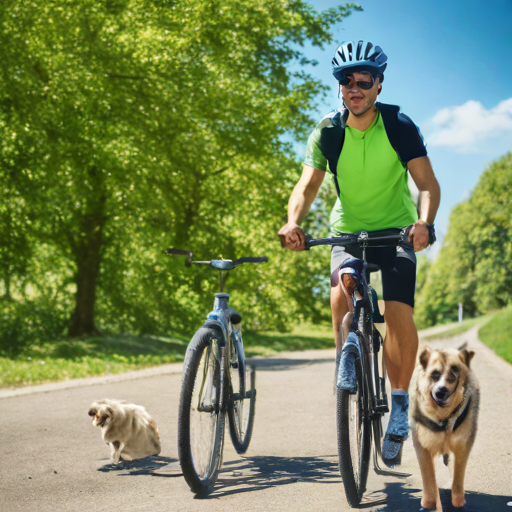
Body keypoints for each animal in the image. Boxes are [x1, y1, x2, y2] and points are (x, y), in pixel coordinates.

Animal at [412, 346, 480, 510]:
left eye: (453, 375)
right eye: (435, 374)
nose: (441, 391)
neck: (443, 418)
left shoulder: (463, 443)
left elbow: (458, 472)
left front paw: (457, 500)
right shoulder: (422, 443)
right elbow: (428, 473)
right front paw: (429, 501)